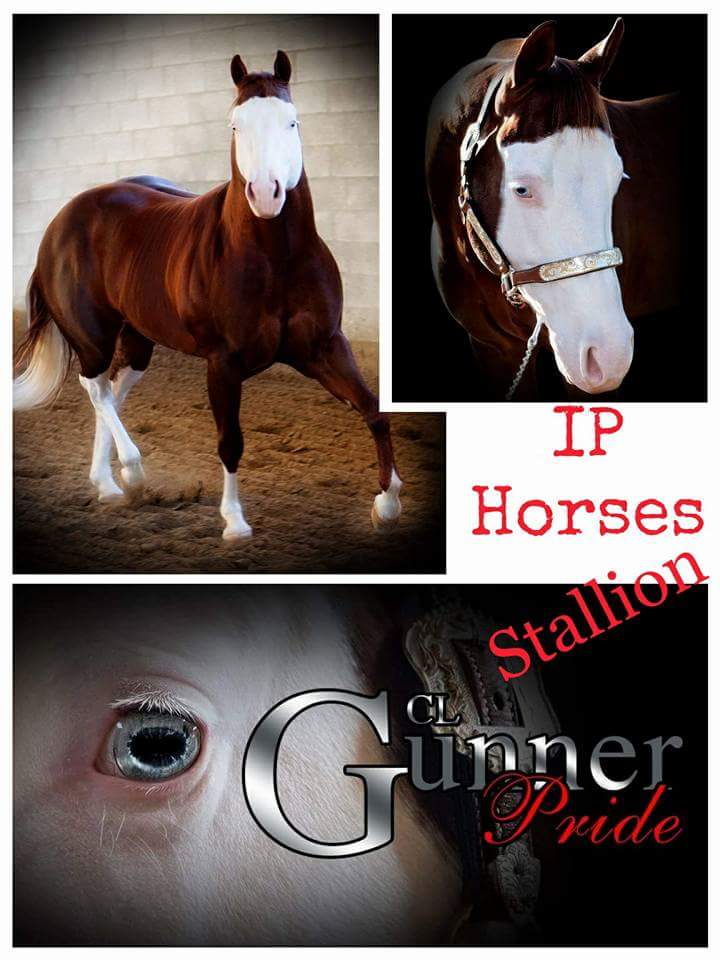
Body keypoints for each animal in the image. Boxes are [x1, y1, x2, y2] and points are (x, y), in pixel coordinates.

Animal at [13, 51, 402, 540]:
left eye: (292, 121)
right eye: (235, 125)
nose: (266, 194)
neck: (276, 259)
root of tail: (62, 220)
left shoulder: (323, 348)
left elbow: (374, 409)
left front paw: (387, 505)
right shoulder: (223, 363)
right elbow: (230, 441)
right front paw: (234, 522)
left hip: (138, 340)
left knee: (113, 389)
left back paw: (108, 483)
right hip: (92, 337)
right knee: (95, 387)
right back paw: (132, 472)